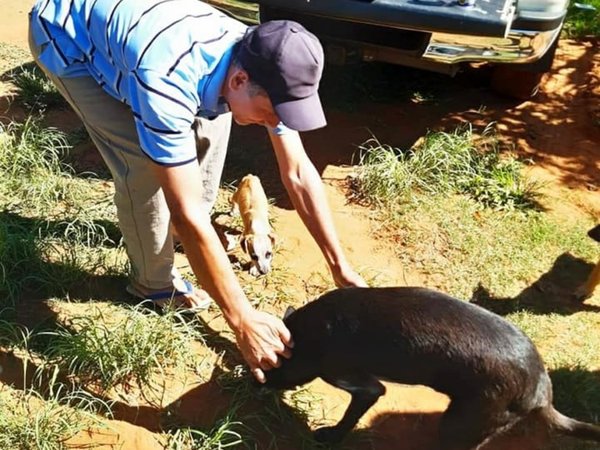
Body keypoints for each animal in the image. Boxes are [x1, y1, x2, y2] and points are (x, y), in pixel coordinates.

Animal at [264, 286, 600, 448]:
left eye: (271, 365)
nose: (260, 383)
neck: (314, 329)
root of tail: (543, 387)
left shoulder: (361, 385)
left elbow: (350, 416)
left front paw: (330, 437)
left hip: (459, 424)